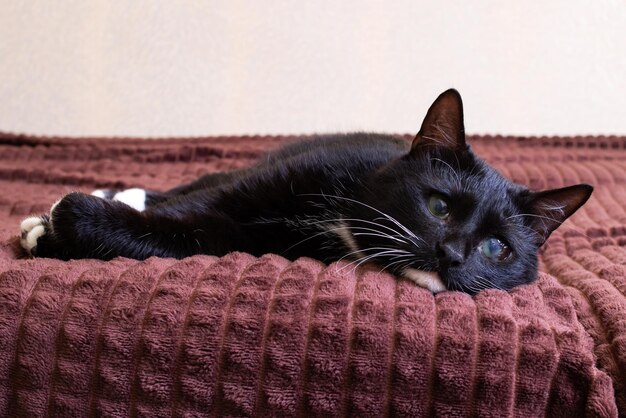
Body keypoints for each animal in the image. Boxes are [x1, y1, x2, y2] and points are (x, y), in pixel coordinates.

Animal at [20, 90, 588, 294]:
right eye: (439, 206)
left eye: (496, 248)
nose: (450, 254)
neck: (350, 217)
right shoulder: (270, 181)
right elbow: (196, 205)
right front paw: (57, 223)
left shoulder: (233, 238)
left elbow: (185, 235)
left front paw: (69, 224)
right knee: (190, 188)